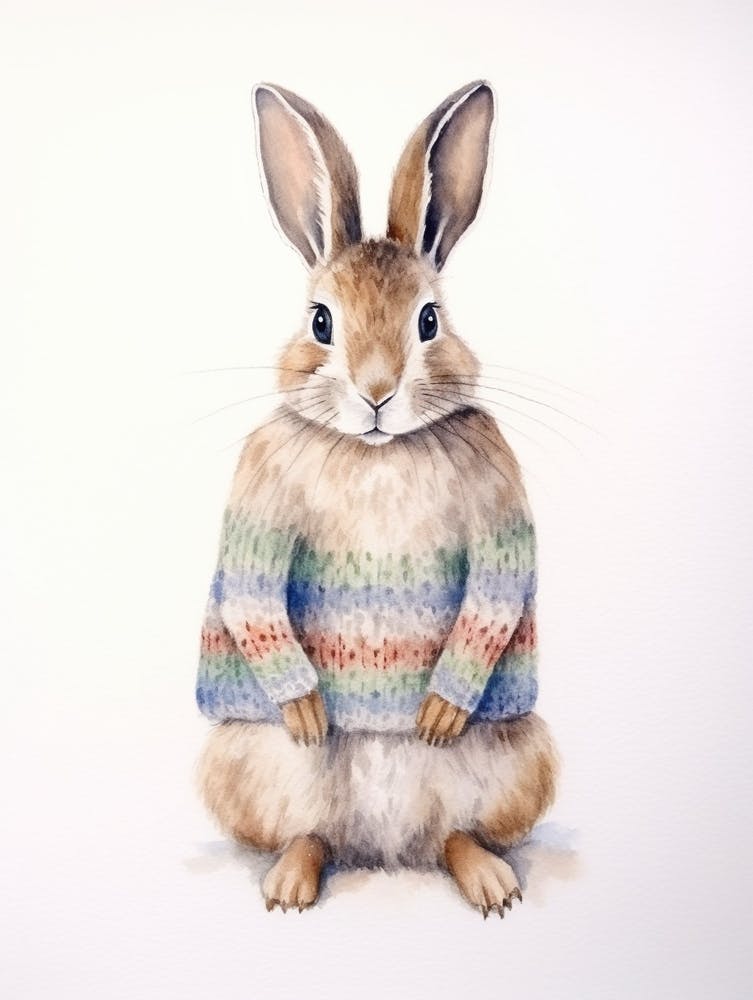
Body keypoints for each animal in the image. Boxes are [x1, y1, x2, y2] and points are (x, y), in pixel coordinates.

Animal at [196, 80, 558, 917]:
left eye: (428, 321)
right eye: (320, 322)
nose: (376, 392)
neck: (377, 450)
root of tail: (385, 845)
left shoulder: (500, 511)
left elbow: (495, 592)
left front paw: (438, 710)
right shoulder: (257, 509)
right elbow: (252, 594)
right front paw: (306, 706)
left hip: (523, 759)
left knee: (455, 833)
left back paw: (489, 883)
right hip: (240, 763)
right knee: (310, 832)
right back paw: (291, 883)